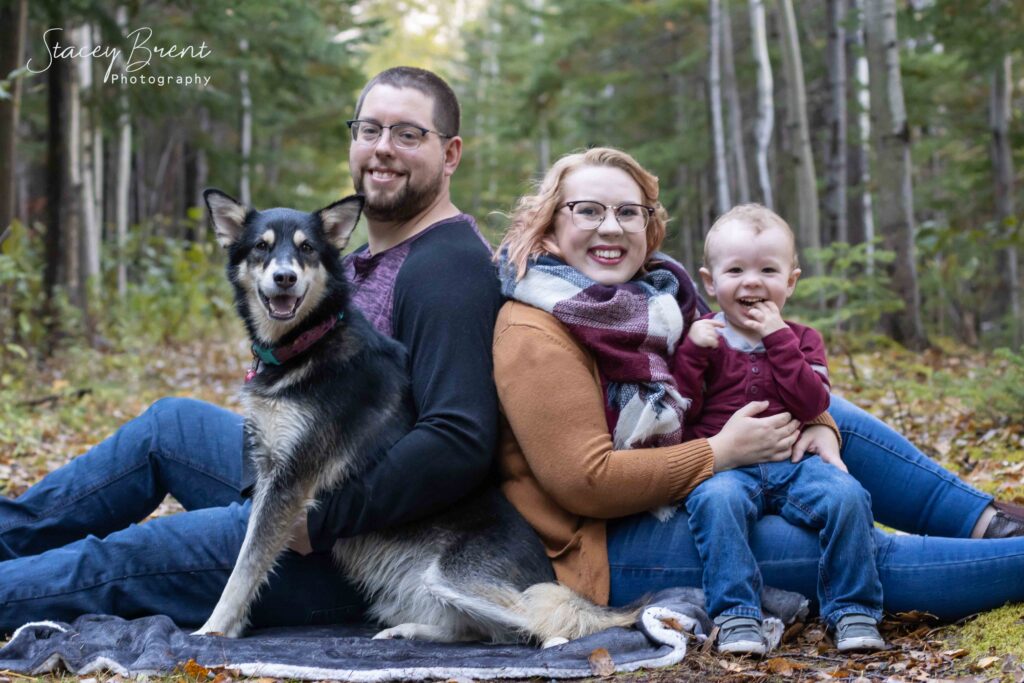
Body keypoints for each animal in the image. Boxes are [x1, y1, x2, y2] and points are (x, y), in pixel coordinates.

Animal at [194, 191, 634, 647]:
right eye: (261, 247)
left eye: (307, 249)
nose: (284, 277)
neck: (308, 344)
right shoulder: (268, 463)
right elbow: (249, 565)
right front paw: (229, 626)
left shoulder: (290, 480)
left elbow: (243, 567)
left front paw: (212, 629)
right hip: (426, 591)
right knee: (481, 630)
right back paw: (408, 630)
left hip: (454, 577)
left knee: (540, 620)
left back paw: (555, 640)